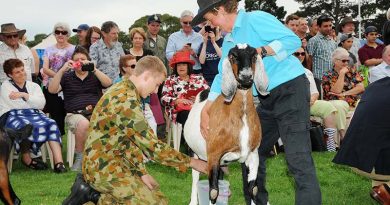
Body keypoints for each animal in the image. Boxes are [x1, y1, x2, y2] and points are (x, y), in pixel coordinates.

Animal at [184, 44, 268, 205]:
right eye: (232, 56)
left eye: (254, 56)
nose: (246, 76)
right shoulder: (214, 156)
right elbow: (213, 192)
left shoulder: (253, 154)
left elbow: (253, 189)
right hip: (194, 152)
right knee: (195, 177)